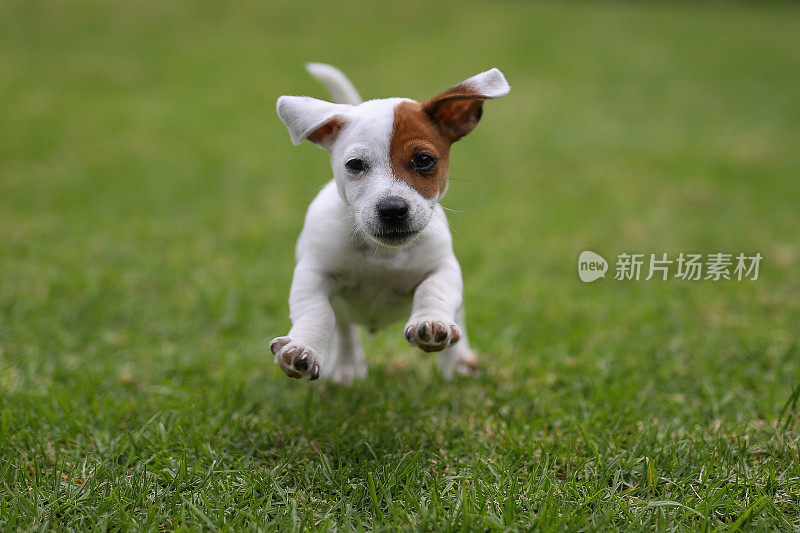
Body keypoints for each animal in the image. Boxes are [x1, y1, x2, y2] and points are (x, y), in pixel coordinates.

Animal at [272, 63, 510, 382]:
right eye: (355, 165)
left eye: (424, 159)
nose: (393, 209)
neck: (382, 253)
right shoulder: (314, 274)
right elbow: (317, 313)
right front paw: (303, 347)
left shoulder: (443, 267)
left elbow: (432, 291)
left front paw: (431, 322)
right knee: (345, 330)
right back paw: (346, 367)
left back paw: (457, 362)